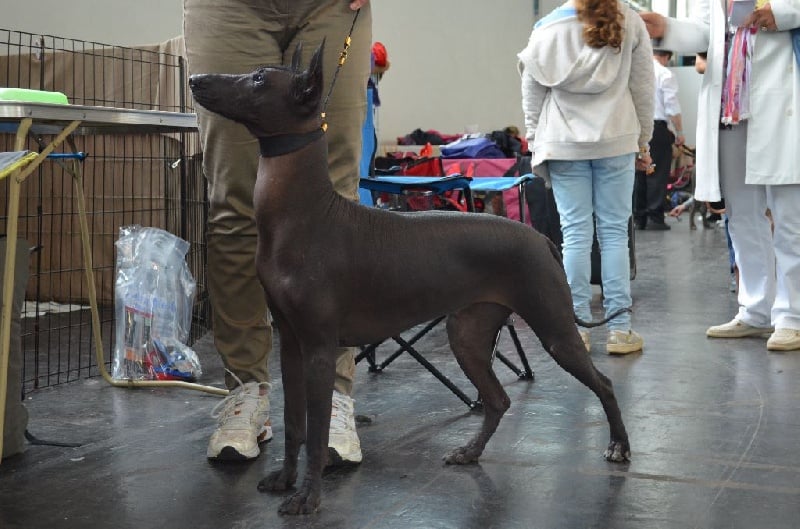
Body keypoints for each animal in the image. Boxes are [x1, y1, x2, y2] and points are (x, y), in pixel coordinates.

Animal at [189, 42, 630, 515]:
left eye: (257, 80)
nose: (195, 80)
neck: (303, 213)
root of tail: (539, 237)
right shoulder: (290, 345)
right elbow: (293, 423)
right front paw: (286, 479)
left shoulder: (320, 348)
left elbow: (318, 431)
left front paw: (308, 495)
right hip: (467, 336)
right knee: (498, 399)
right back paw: (470, 452)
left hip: (554, 330)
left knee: (603, 383)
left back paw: (619, 446)